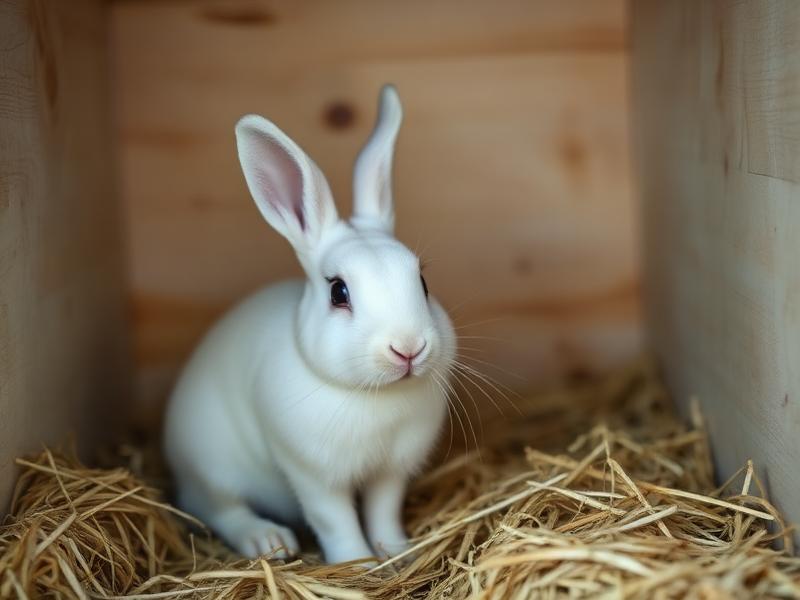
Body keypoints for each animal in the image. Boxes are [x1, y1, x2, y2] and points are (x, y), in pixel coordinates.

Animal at [163, 85, 456, 565]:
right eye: (339, 292)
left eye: (423, 281)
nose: (408, 348)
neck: (375, 397)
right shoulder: (314, 475)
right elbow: (335, 520)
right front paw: (356, 562)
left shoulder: (390, 471)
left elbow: (383, 510)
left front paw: (396, 552)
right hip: (212, 466)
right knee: (218, 508)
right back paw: (269, 540)